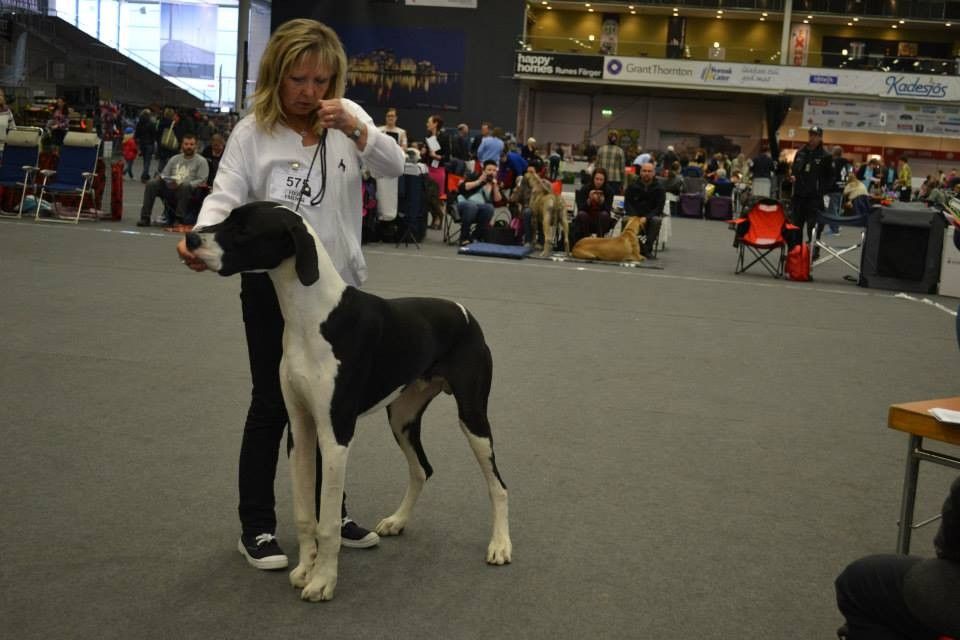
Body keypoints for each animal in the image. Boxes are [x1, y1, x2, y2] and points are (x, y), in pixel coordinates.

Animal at [185, 202, 511, 602]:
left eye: (244, 229)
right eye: (228, 217)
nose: (191, 238)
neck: (312, 317)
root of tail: (465, 312)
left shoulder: (335, 434)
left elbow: (327, 523)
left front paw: (323, 580)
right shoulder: (300, 430)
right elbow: (306, 514)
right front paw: (305, 569)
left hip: (473, 416)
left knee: (498, 485)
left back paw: (500, 545)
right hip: (401, 417)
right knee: (422, 469)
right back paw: (397, 521)